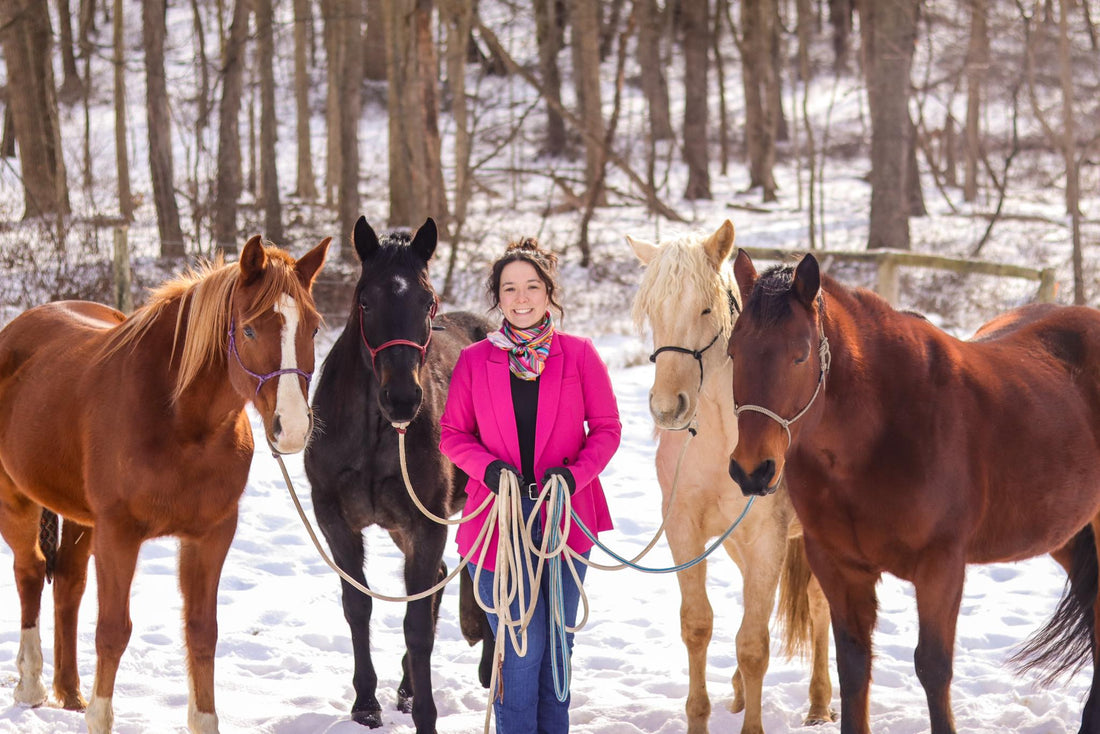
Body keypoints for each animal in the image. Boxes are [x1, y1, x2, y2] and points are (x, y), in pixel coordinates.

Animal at [0, 232, 330, 730]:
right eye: (250, 330)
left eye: (312, 328)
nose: (290, 428)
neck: (179, 420)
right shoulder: (119, 534)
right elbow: (113, 631)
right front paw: (99, 718)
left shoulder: (211, 535)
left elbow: (202, 631)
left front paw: (204, 719)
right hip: (16, 498)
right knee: (32, 572)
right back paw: (32, 684)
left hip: (80, 518)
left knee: (70, 585)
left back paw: (70, 692)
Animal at [301, 217, 490, 734]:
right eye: (365, 300)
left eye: (428, 301)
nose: (403, 399)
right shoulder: (335, 518)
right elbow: (358, 605)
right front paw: (366, 702)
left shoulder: (425, 523)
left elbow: (416, 624)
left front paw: (426, 714)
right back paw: (404, 687)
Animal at [629, 220, 831, 734]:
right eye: (653, 311)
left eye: (705, 308)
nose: (668, 408)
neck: (723, 435)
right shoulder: (684, 529)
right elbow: (698, 625)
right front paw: (700, 716)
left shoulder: (767, 538)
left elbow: (754, 644)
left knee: (819, 606)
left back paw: (820, 704)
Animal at [726, 249, 1100, 730]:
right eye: (733, 352)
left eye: (800, 354)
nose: (752, 471)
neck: (882, 432)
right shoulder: (838, 566)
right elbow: (854, 665)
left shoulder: (941, 567)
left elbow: (933, 667)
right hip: (1067, 536)